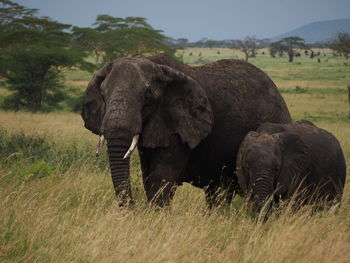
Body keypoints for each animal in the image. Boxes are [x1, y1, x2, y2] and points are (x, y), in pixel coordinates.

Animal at [80, 54, 292, 208]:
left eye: (147, 96)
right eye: (103, 94)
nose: (132, 209)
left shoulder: (178, 127)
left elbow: (161, 177)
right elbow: (148, 176)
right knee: (218, 191)